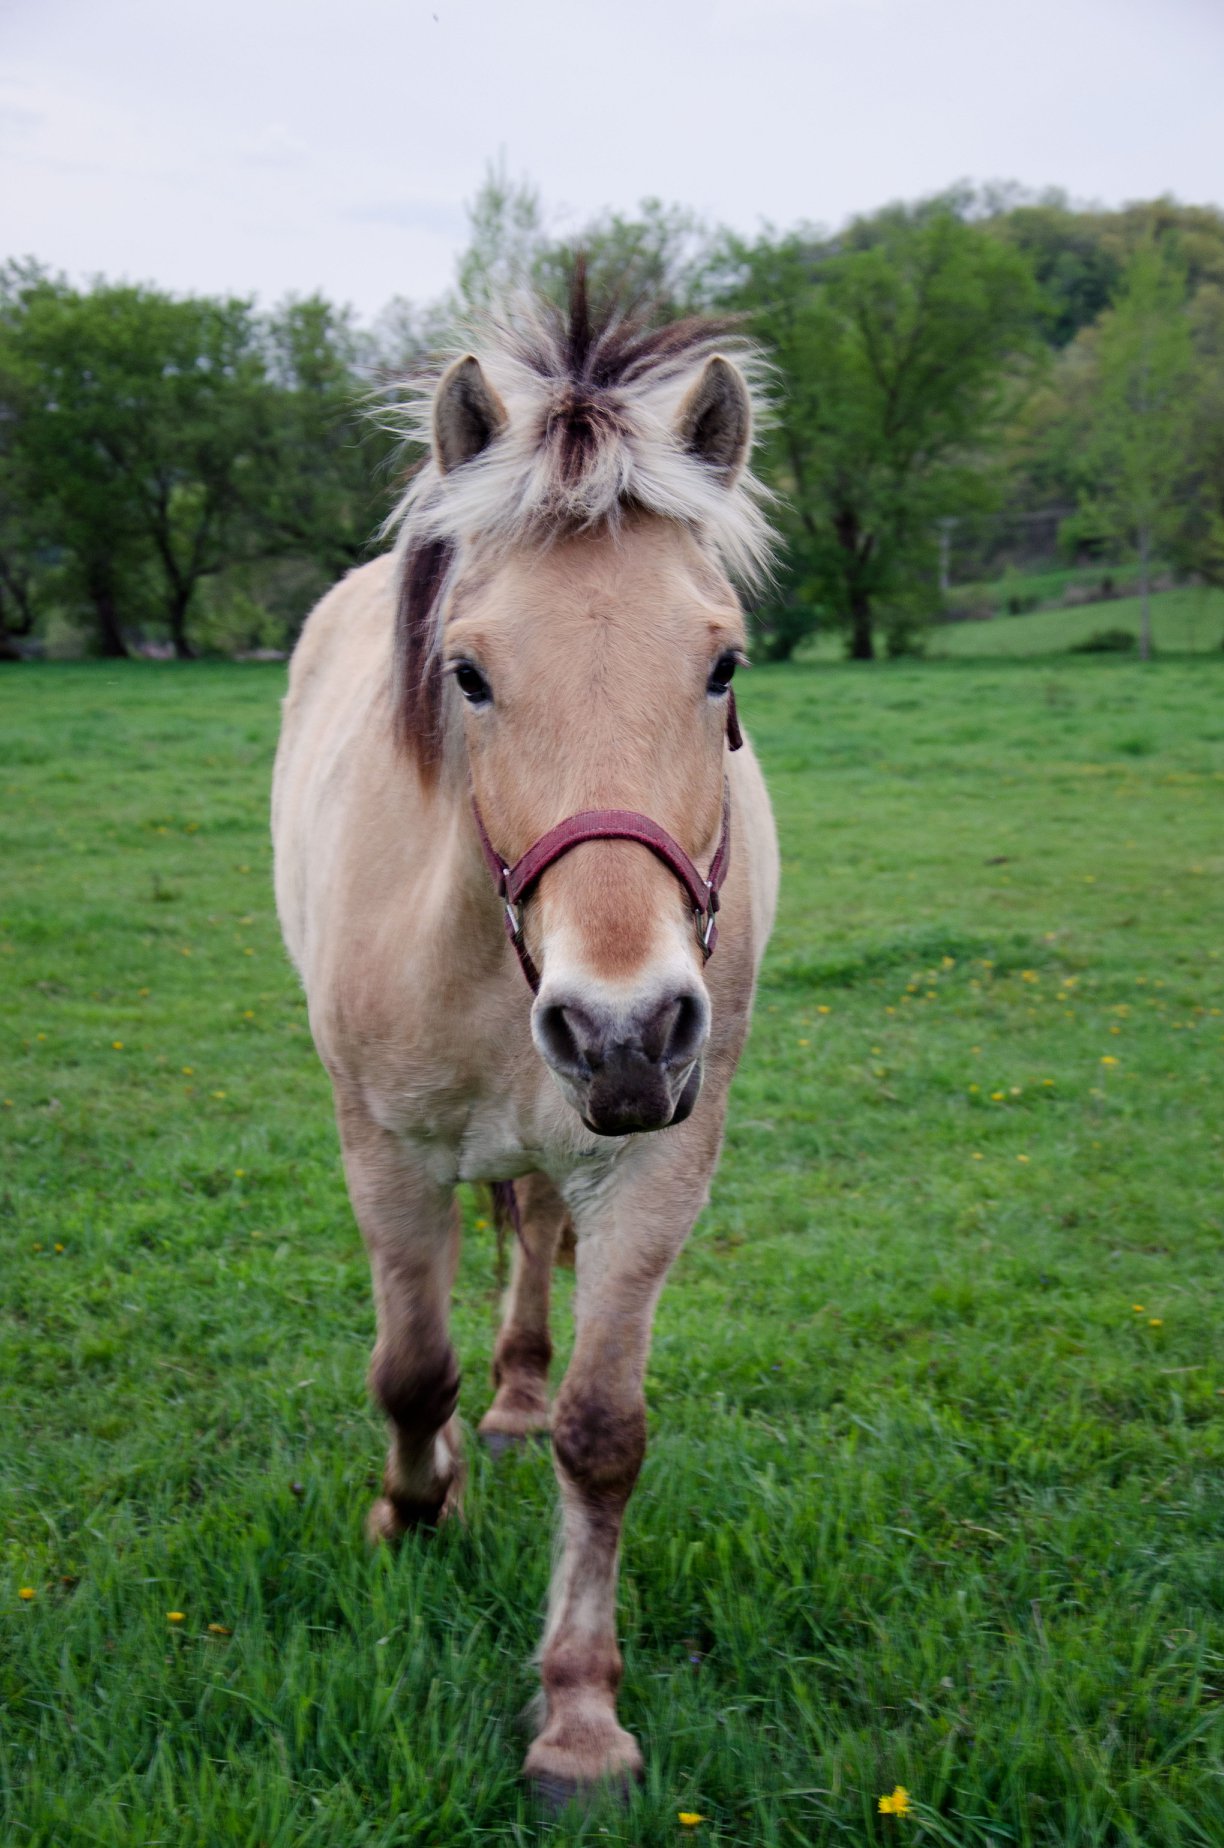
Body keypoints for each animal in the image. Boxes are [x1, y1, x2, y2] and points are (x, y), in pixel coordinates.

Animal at [271, 275, 779, 1802]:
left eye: (724, 663)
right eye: (470, 674)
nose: (625, 1026)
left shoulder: (659, 1159)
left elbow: (603, 1434)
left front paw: (578, 1711)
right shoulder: (382, 1148)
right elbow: (406, 1367)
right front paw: (409, 1514)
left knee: (534, 1234)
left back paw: (513, 1399)